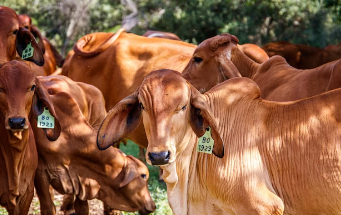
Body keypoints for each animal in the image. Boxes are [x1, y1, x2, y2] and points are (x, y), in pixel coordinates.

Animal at [31, 74, 154, 214]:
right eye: (143, 175)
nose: (153, 206)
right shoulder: (40, 173)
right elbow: (48, 206)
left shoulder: (83, 181)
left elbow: (83, 207)